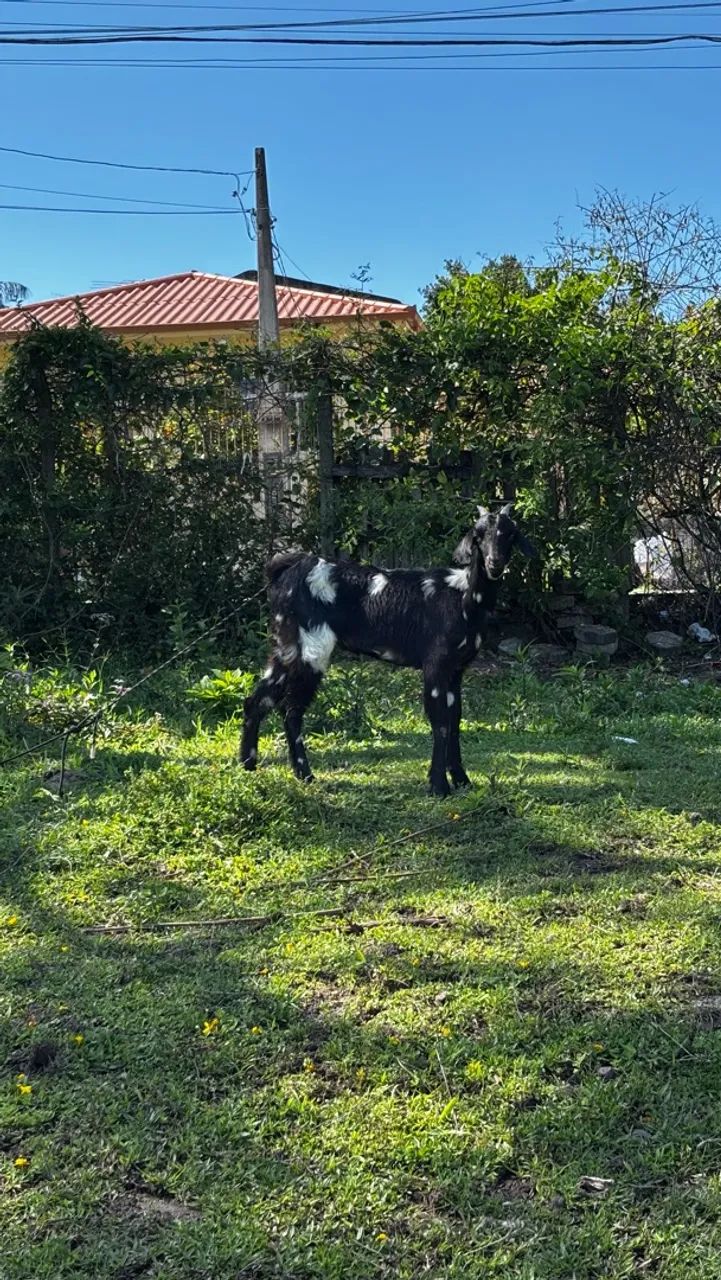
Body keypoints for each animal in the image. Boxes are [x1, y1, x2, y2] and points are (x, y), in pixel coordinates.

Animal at [240, 503, 536, 797]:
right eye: (478, 535)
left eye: (510, 534)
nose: (494, 563)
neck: (462, 597)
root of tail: (285, 572)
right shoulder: (436, 664)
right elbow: (440, 722)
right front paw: (438, 786)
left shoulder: (456, 669)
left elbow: (455, 721)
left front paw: (462, 780)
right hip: (312, 647)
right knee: (292, 710)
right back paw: (304, 774)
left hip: (286, 647)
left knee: (258, 699)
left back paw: (248, 764)